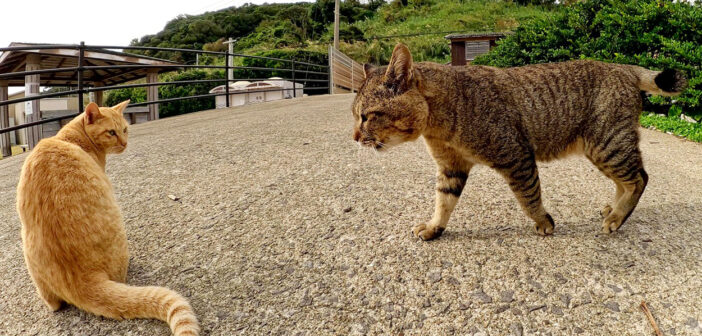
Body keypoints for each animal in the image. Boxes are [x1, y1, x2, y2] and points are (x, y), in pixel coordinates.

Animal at [15, 101, 201, 334]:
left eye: (125, 129)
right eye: (111, 132)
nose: (124, 142)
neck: (68, 138)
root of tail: (82, 281)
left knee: (54, 304)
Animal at [352, 43, 688, 240]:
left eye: (367, 116)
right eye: (356, 116)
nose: (354, 137)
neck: (441, 122)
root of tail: (622, 66)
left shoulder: (516, 156)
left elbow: (529, 197)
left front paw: (543, 222)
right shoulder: (451, 167)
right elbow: (443, 202)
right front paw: (435, 227)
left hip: (608, 144)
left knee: (640, 178)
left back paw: (617, 218)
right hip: (602, 149)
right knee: (626, 181)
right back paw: (614, 210)